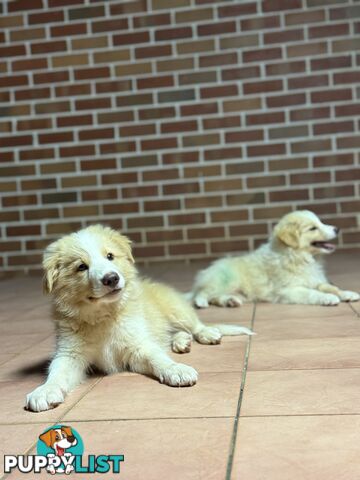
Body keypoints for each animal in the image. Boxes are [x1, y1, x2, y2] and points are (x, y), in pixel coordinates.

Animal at [26, 225, 253, 412]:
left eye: (110, 256)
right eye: (81, 267)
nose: (112, 278)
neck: (103, 316)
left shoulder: (138, 344)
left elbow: (157, 357)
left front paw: (176, 370)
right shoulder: (70, 354)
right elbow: (57, 372)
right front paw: (44, 391)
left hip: (175, 309)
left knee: (194, 325)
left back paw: (206, 334)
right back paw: (181, 342)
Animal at [190, 211, 358, 310]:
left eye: (321, 222)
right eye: (312, 228)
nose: (337, 229)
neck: (298, 256)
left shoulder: (315, 280)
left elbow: (331, 287)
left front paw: (347, 294)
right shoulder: (289, 289)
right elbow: (311, 293)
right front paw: (328, 298)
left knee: (216, 297)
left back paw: (230, 301)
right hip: (225, 279)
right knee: (204, 292)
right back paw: (201, 302)